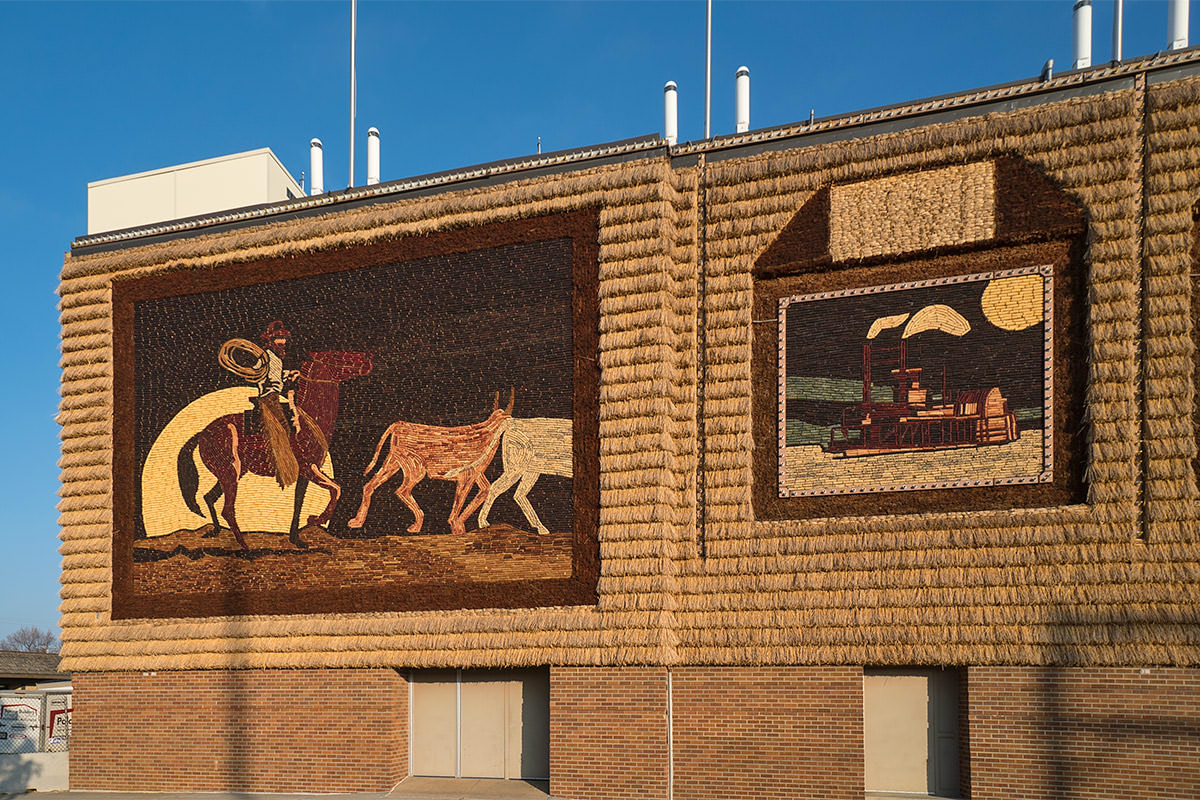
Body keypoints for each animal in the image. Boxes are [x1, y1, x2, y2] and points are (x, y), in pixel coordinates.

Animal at [177, 350, 369, 551]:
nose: (367, 362)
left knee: (209, 498)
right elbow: (336, 489)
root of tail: (201, 434)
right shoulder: (309, 469)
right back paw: (245, 547)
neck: (308, 421)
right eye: (335, 356)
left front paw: (297, 538)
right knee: (227, 510)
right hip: (228, 473)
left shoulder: (306, 474)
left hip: (231, 473)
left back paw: (215, 531)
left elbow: (299, 503)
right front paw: (316, 519)